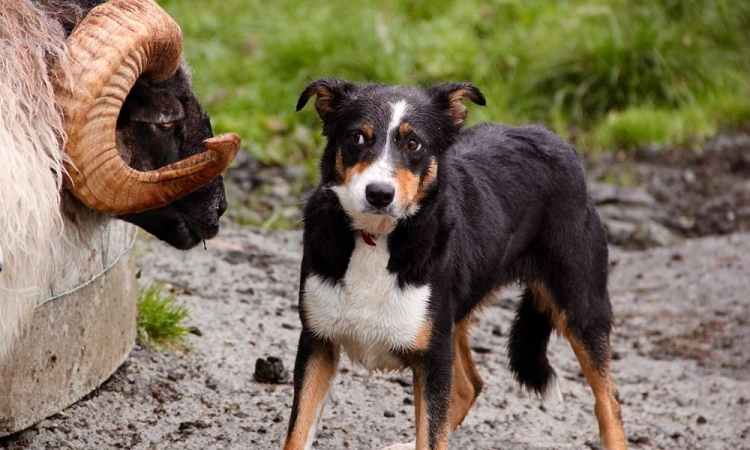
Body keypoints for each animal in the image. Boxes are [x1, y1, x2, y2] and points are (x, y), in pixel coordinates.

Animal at [284, 79, 624, 448]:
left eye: (414, 143)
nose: (379, 193)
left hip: (581, 304)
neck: (376, 238)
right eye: (357, 137)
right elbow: (297, 433)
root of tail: (553, 139)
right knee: (468, 386)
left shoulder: (433, 356)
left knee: (609, 402)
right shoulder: (318, 343)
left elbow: (430, 434)